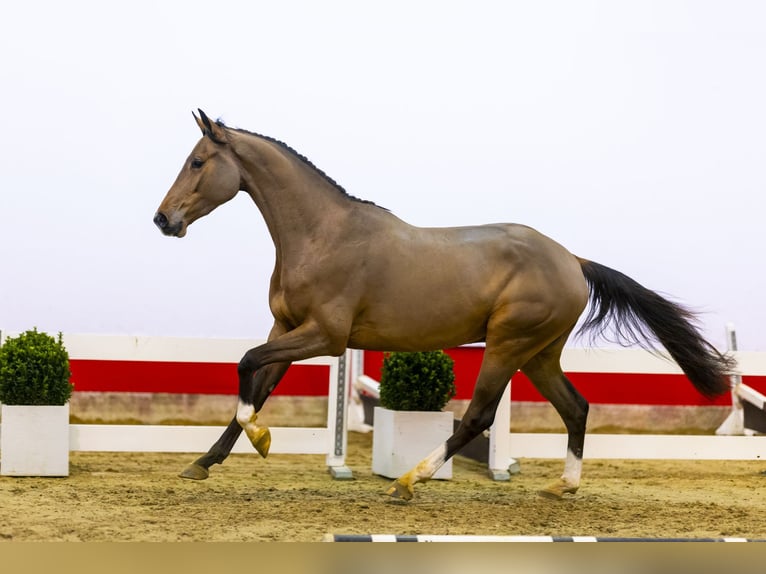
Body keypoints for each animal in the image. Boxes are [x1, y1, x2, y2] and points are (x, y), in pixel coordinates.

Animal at [153, 111, 736, 500]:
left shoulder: (326, 335)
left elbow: (246, 365)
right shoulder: (286, 327)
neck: (323, 235)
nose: (163, 219)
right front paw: (205, 462)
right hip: (539, 354)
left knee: (478, 415)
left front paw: (262, 438)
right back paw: (562, 487)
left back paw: (410, 481)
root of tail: (572, 259)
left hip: (508, 345)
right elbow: (256, 384)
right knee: (576, 407)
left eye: (198, 161)